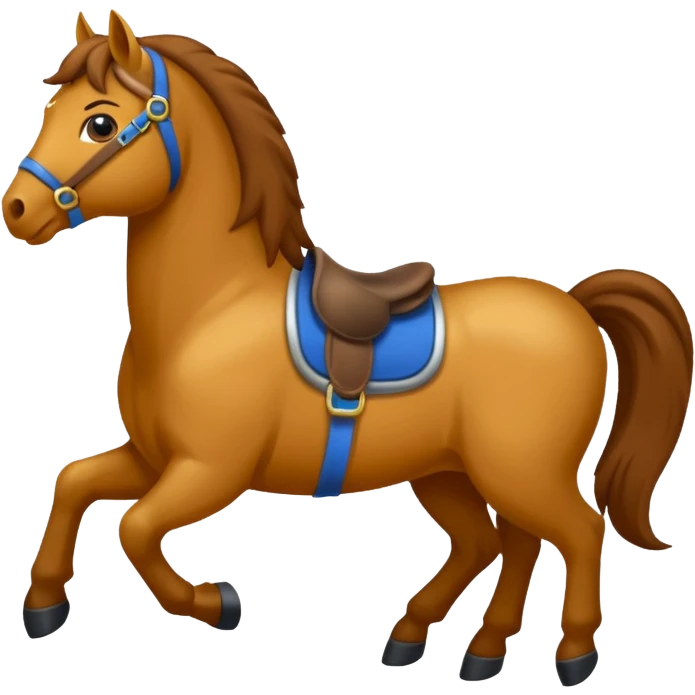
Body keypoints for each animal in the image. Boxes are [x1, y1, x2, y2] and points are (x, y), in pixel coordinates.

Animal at [3, 10, 692, 687]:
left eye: (99, 122)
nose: (17, 209)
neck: (213, 308)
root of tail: (574, 304)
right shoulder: (152, 457)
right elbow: (73, 484)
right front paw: (44, 605)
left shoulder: (209, 470)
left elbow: (136, 528)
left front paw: (218, 602)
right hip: (449, 472)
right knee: (497, 543)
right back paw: (453, 645)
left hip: (519, 471)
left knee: (577, 531)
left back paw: (571, 652)